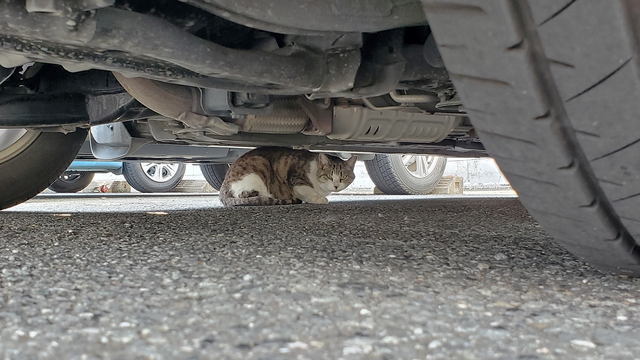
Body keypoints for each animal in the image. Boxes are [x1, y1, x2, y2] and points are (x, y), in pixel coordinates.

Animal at [220, 146, 356, 207]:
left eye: (343, 177)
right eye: (328, 176)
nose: (336, 185)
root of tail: (222, 191)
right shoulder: (297, 181)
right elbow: (309, 191)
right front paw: (320, 199)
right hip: (258, 165)